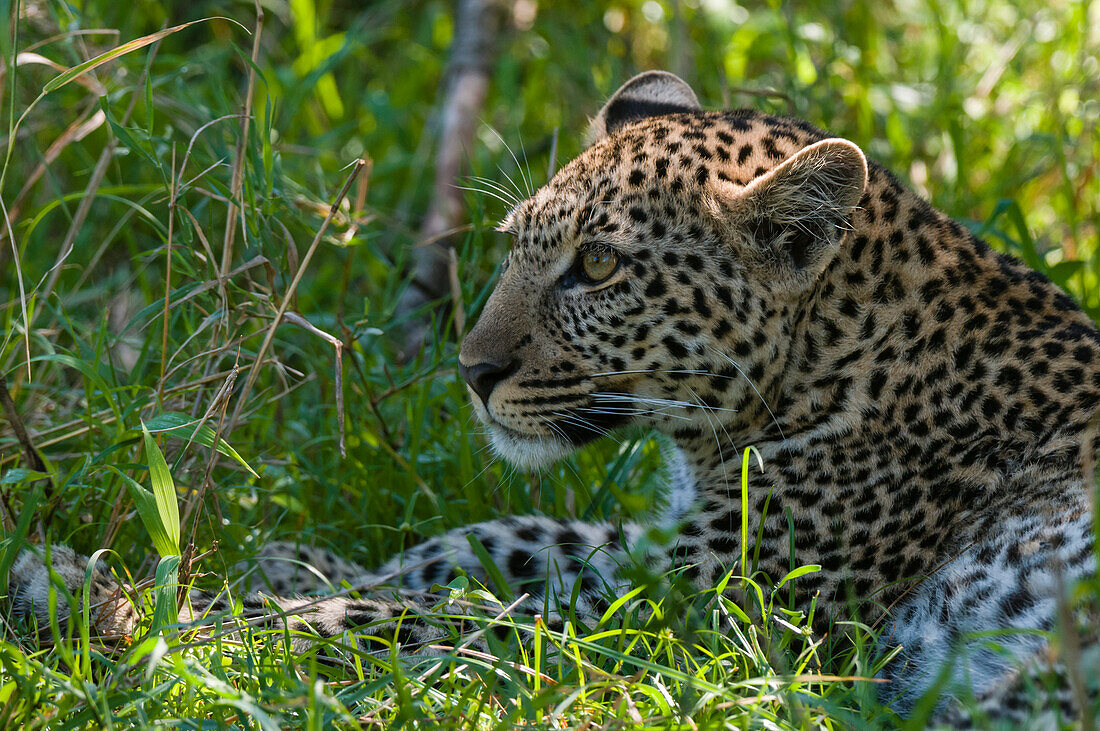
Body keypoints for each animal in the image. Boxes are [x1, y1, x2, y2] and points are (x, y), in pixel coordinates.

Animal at [8, 71, 1100, 721]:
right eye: (518, 244)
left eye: (601, 265)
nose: (471, 370)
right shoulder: (654, 550)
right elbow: (491, 536)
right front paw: (290, 558)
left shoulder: (697, 607)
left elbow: (416, 618)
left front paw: (125, 610)